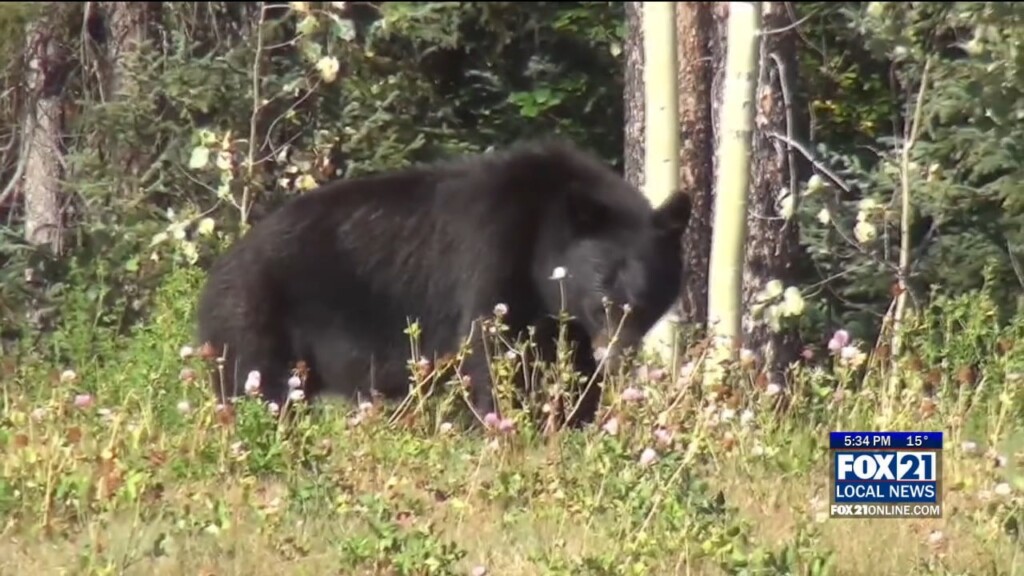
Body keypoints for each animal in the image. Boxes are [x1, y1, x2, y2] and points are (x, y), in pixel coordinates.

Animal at [195, 137, 692, 427]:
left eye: (646, 297)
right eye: (602, 289)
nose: (618, 354)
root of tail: (217, 271)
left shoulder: (564, 322)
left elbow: (575, 372)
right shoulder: (493, 255)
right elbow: (492, 355)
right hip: (255, 322)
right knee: (256, 389)